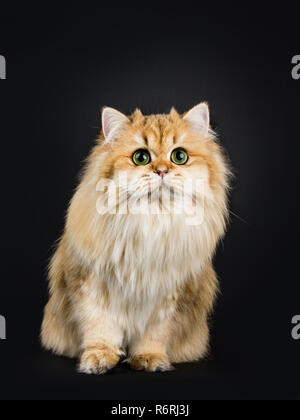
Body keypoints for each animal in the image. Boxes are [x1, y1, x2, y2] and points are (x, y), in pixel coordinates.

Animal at [41, 104, 231, 374]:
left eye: (179, 157)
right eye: (141, 157)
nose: (162, 171)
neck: (152, 220)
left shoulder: (170, 294)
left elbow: (155, 334)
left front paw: (149, 358)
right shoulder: (89, 283)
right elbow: (99, 327)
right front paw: (99, 358)